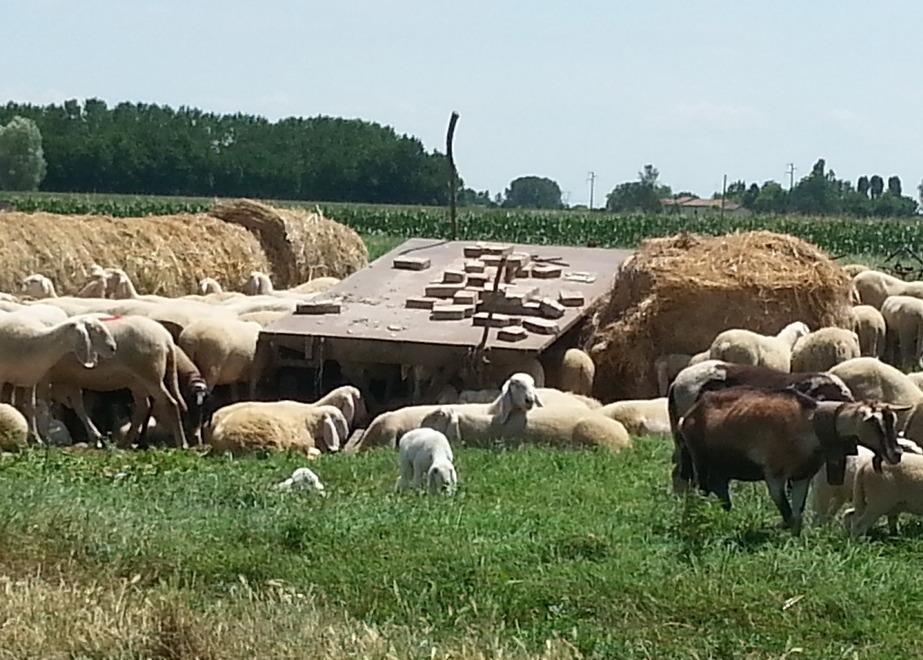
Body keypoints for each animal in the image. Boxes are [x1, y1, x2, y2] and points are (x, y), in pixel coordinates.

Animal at [0, 315, 117, 443]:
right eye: (94, 329)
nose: (113, 348)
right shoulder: (3, 377)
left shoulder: (30, 380)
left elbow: (31, 408)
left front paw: (37, 438)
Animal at [677, 387, 905, 535]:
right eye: (875, 424)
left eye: (892, 421)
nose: (896, 453)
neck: (809, 423)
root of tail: (689, 415)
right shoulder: (774, 475)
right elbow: (787, 514)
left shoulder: (802, 476)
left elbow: (797, 515)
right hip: (699, 460)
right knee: (699, 490)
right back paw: (696, 520)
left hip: (721, 468)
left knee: (719, 491)